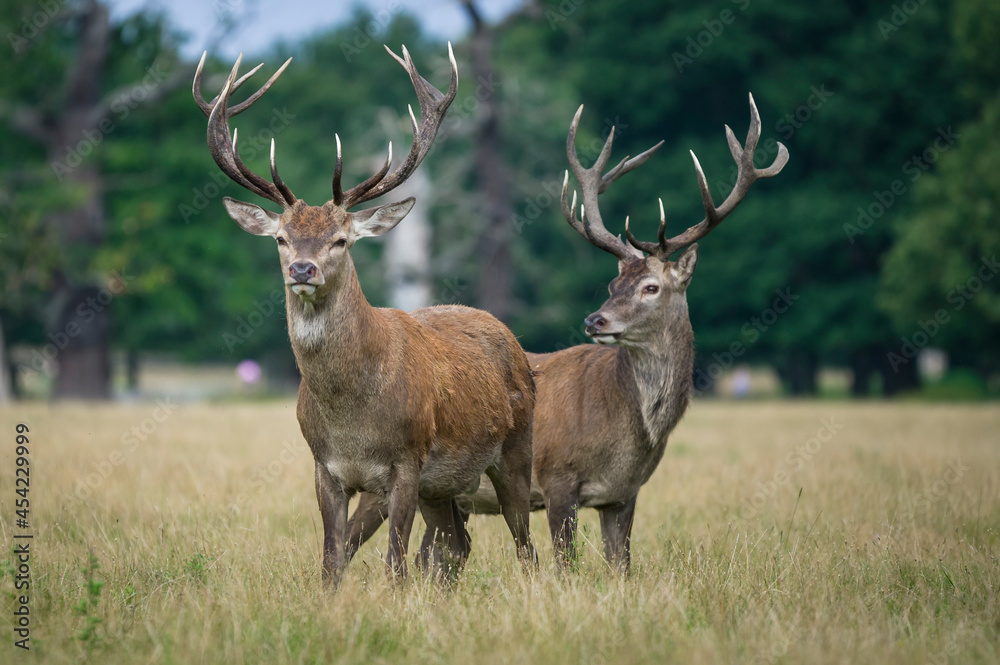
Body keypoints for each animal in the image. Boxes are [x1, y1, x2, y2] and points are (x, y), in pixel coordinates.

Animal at [192, 44, 537, 585]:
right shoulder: (324, 467)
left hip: (516, 447)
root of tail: (511, 338)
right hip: (444, 484)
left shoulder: (407, 462)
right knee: (456, 544)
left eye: (341, 240)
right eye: (281, 238)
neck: (353, 421)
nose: (303, 268)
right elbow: (332, 561)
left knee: (526, 544)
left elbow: (395, 563)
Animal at [346, 95, 788, 572]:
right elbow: (565, 561)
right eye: (613, 285)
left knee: (438, 554)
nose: (596, 321)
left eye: (651, 287)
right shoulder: (558, 477)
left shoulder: (624, 495)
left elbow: (621, 566)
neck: (627, 433)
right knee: (357, 539)